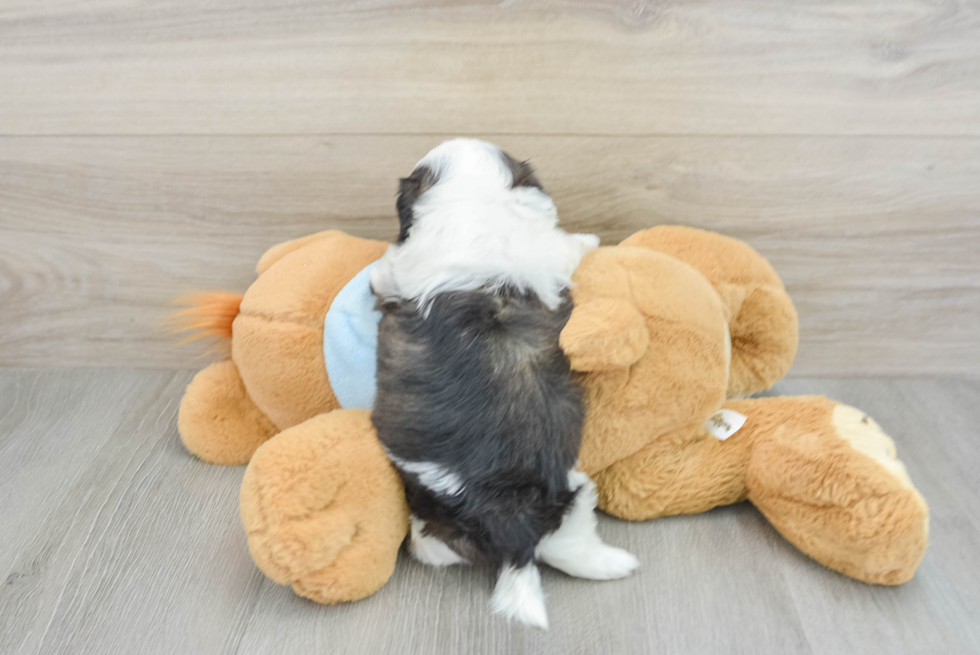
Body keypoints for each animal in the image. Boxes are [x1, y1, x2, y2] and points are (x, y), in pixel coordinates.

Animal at [372, 138, 640, 632]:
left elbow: (383, 266)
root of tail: (509, 523)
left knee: (440, 548)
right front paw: (591, 240)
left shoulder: (400, 265)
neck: (475, 204)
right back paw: (615, 564)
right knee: (569, 547)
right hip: (572, 492)